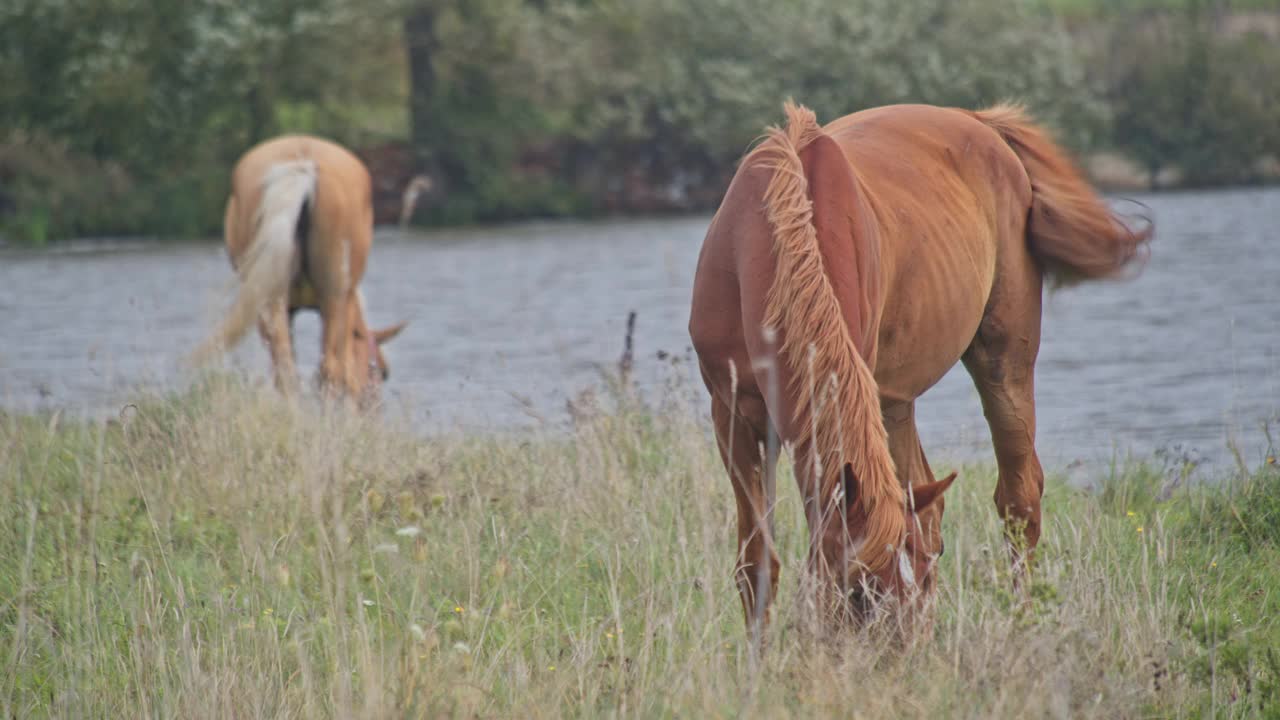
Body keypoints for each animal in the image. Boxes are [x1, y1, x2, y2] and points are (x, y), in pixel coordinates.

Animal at [189, 134, 404, 399]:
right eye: (382, 372)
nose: (373, 407)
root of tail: (302, 167)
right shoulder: (345, 306)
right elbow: (344, 373)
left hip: (272, 297)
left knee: (287, 370)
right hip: (334, 295)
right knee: (329, 370)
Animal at [691, 101, 1152, 632]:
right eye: (858, 594)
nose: (903, 650)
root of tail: (980, 121)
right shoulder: (732, 412)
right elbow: (757, 564)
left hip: (1003, 362)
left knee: (1018, 498)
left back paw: (1020, 617)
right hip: (895, 401)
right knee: (929, 503)